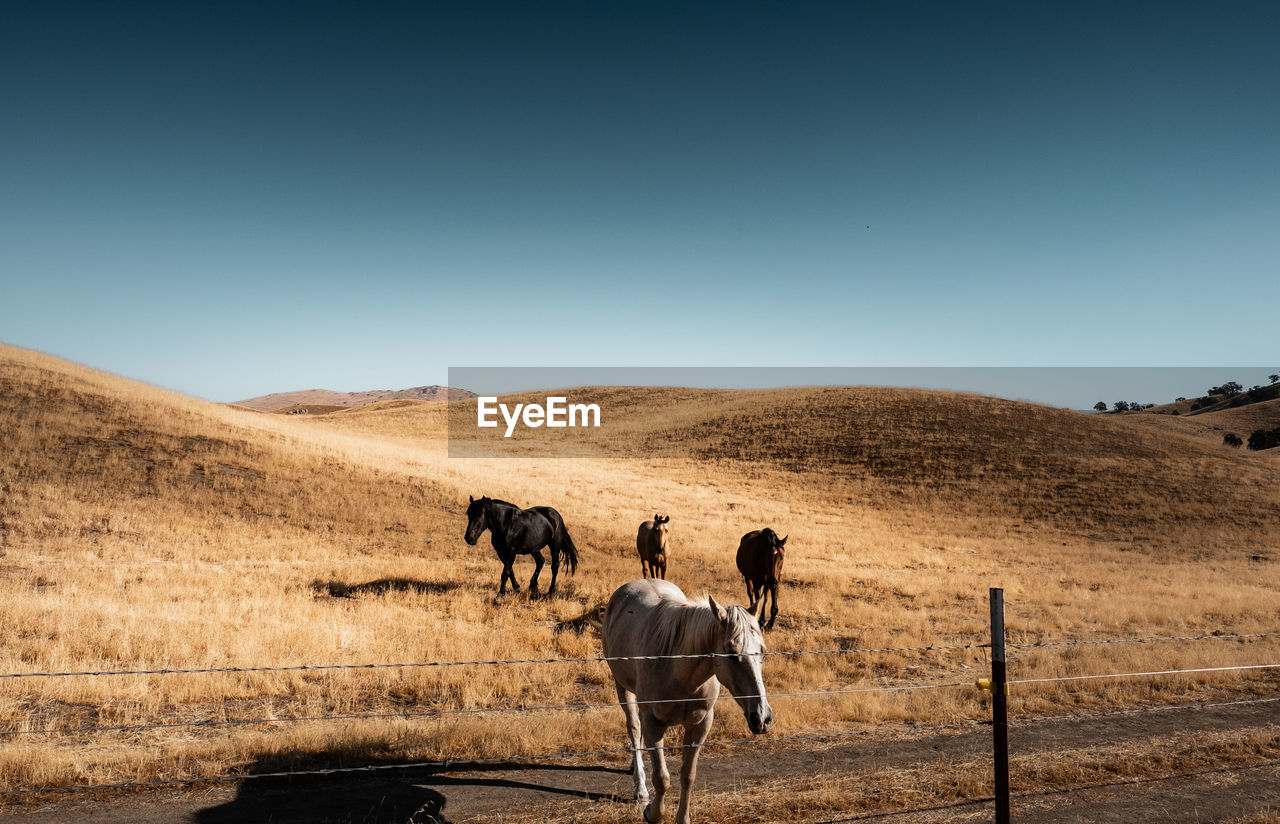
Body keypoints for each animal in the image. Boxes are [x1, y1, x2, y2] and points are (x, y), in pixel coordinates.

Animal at [604, 578, 773, 824]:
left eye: (762, 650)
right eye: (732, 653)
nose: (762, 717)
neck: (677, 668)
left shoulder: (700, 725)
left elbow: (688, 776)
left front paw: (682, 817)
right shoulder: (653, 722)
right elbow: (661, 778)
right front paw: (651, 812)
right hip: (622, 688)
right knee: (634, 729)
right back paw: (640, 786)